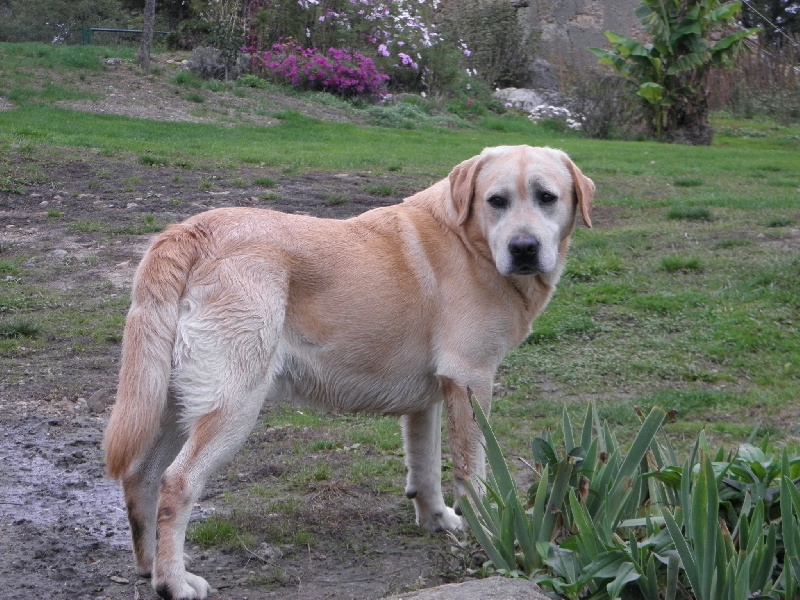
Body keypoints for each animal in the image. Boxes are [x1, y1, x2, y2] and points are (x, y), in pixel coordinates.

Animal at [103, 145, 594, 599]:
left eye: (547, 197)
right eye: (496, 201)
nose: (524, 248)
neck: (469, 239)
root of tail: (190, 230)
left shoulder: (431, 398)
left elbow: (426, 469)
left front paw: (437, 521)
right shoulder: (470, 380)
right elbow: (472, 475)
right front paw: (490, 529)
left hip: (171, 402)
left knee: (142, 476)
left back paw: (150, 567)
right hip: (233, 406)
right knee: (176, 483)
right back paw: (173, 582)